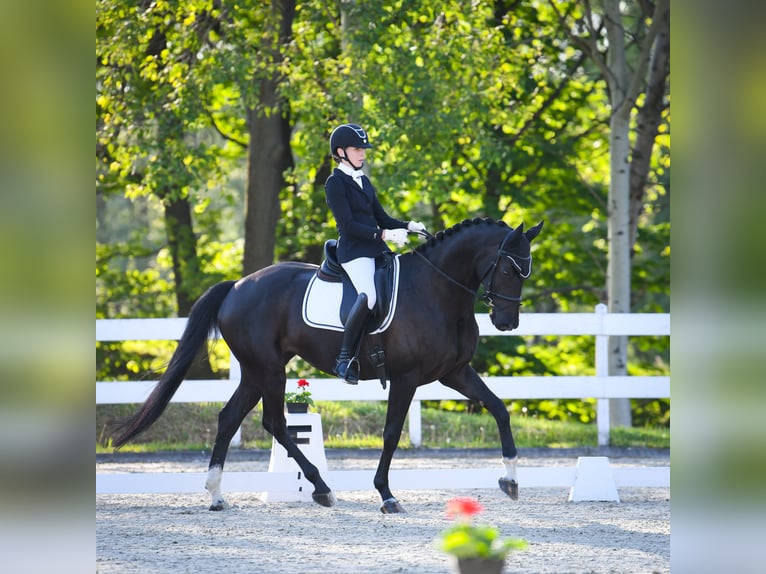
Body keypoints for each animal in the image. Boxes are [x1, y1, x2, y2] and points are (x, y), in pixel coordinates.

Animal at [114, 216, 544, 512]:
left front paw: (510, 480)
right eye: (509, 268)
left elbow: (499, 409)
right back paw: (320, 488)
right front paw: (386, 495)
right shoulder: (406, 379)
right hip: (269, 370)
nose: (507, 323)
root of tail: (236, 286)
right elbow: (391, 433)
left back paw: (218, 496)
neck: (436, 291)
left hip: (256, 372)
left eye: (527, 270)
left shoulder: (454, 373)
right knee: (276, 423)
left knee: (229, 418)